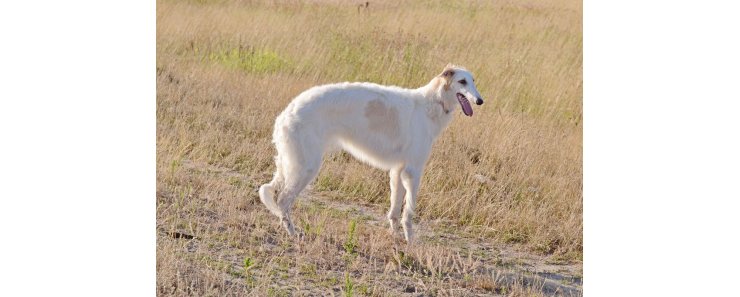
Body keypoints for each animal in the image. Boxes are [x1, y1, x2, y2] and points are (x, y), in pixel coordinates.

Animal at [260, 63, 486, 242]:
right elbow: (409, 212)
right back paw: (293, 232)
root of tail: (286, 113)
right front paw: (411, 241)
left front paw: (395, 237)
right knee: (283, 200)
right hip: (306, 166)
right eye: (462, 81)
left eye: (474, 81)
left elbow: (395, 210)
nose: (480, 101)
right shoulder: (413, 171)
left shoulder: (397, 171)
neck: (431, 104)